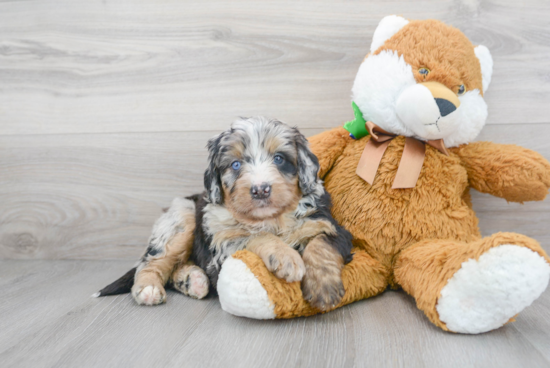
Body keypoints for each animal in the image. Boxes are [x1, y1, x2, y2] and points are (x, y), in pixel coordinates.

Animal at [96, 117, 354, 310]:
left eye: (279, 158)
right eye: (236, 165)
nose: (260, 189)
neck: (273, 219)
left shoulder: (328, 224)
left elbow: (320, 246)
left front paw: (324, 290)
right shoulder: (221, 249)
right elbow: (254, 236)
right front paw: (286, 257)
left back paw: (192, 281)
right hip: (181, 218)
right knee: (151, 262)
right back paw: (150, 289)